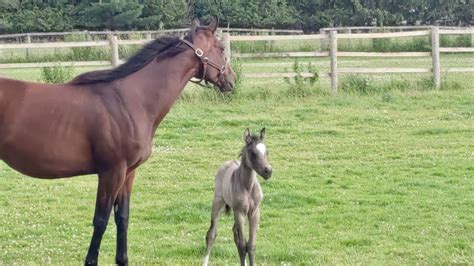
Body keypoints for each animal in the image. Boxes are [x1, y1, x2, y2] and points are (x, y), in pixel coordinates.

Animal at [0, 17, 236, 264]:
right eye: (221, 48)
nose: (232, 79)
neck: (130, 100)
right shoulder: (111, 173)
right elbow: (101, 220)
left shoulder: (128, 173)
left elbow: (122, 217)